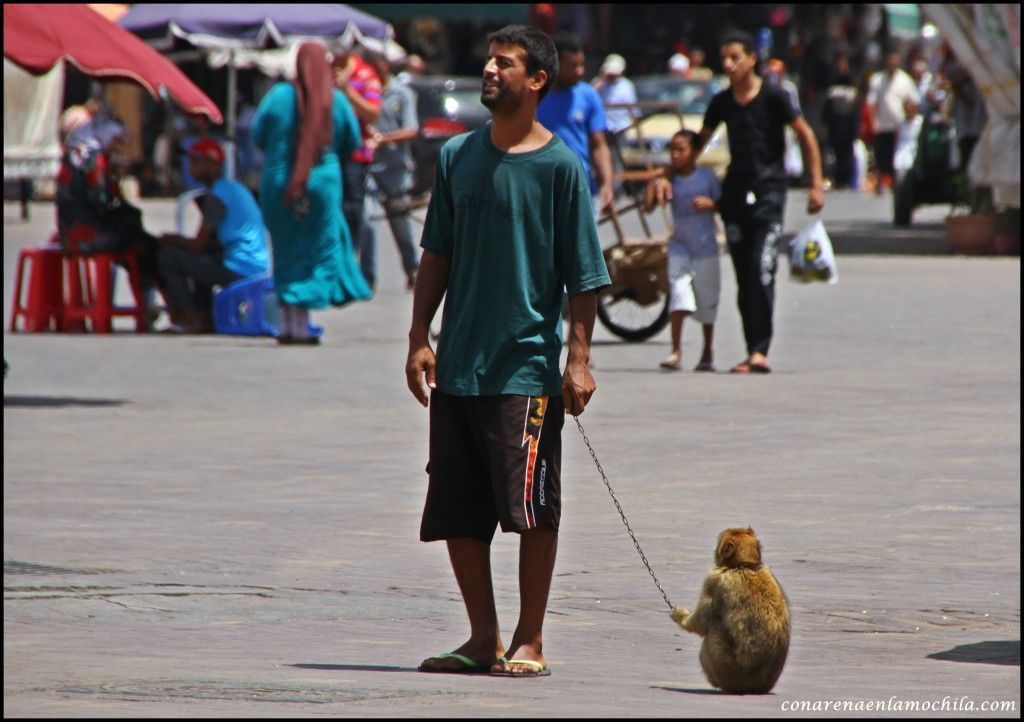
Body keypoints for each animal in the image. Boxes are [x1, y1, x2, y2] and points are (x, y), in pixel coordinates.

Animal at [671, 528, 790, 692]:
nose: (714, 551)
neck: (744, 565)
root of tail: (758, 687)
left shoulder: (714, 579)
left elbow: (699, 624)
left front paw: (679, 615)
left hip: (729, 672)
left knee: (713, 627)